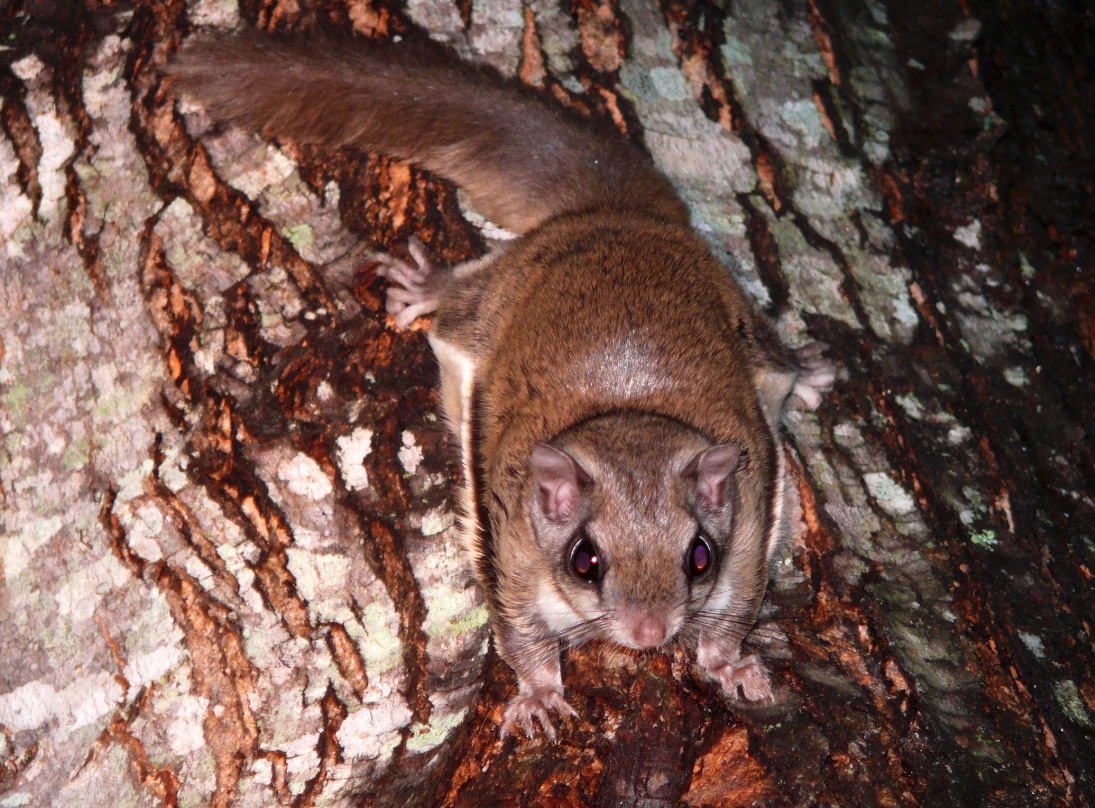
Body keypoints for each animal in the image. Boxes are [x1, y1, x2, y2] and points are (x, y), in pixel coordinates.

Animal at [170, 29, 832, 735]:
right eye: (585, 561)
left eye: (700, 556)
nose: (650, 633)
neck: (628, 409)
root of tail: (615, 216)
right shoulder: (510, 547)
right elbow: (520, 633)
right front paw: (539, 695)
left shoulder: (749, 531)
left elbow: (732, 617)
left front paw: (729, 665)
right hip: (493, 298)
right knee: (463, 303)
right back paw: (429, 286)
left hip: (744, 322)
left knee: (775, 361)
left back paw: (808, 369)